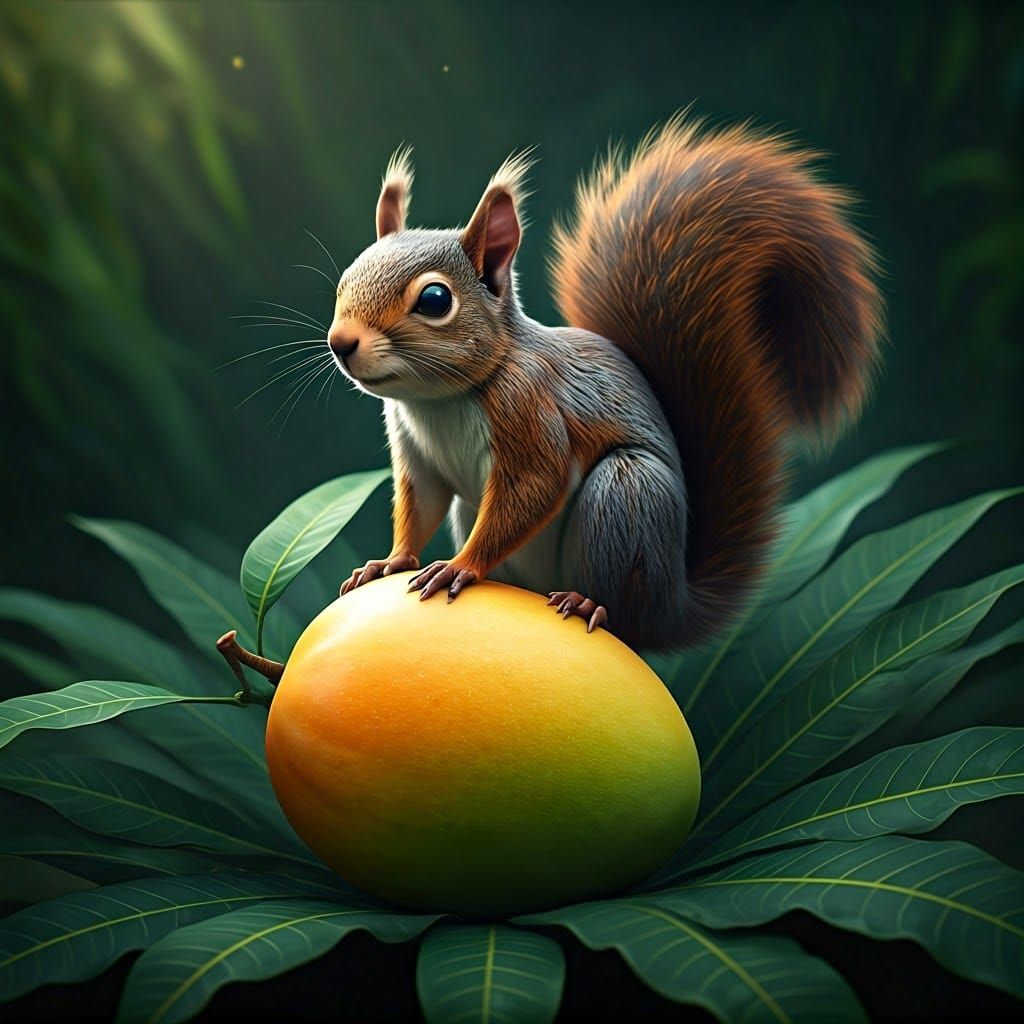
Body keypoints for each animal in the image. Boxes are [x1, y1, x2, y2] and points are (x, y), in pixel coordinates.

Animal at [329, 116, 882, 651]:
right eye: (344, 280)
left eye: (435, 300)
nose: (341, 342)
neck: (438, 400)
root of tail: (672, 605)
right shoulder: (413, 448)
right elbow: (419, 503)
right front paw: (392, 561)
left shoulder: (530, 407)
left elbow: (534, 486)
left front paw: (459, 566)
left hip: (626, 495)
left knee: (622, 606)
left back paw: (587, 602)